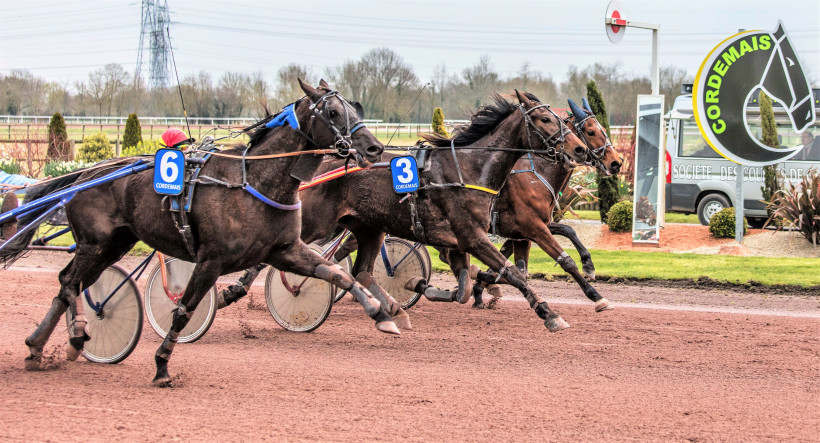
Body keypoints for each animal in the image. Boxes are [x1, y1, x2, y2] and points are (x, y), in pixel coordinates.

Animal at [298, 91, 588, 332]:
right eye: (545, 119)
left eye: (561, 119)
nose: (580, 148)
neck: (468, 170)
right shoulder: (474, 236)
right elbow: (513, 273)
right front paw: (550, 314)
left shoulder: (460, 242)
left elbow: (465, 290)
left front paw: (420, 285)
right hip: (317, 222)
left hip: (368, 228)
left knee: (361, 270)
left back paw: (392, 311)